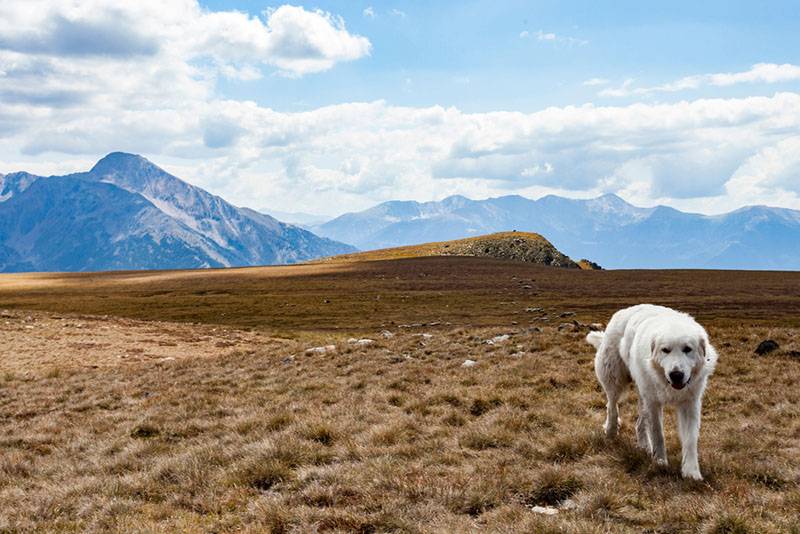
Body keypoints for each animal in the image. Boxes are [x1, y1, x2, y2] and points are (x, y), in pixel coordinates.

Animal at [588, 306, 720, 482]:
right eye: (665, 350)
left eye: (687, 349)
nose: (676, 375)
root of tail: (624, 310)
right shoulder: (654, 403)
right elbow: (658, 433)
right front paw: (660, 462)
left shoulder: (690, 404)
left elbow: (690, 440)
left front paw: (691, 472)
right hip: (615, 379)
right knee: (612, 405)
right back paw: (611, 430)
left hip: (642, 393)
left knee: (639, 423)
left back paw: (644, 446)